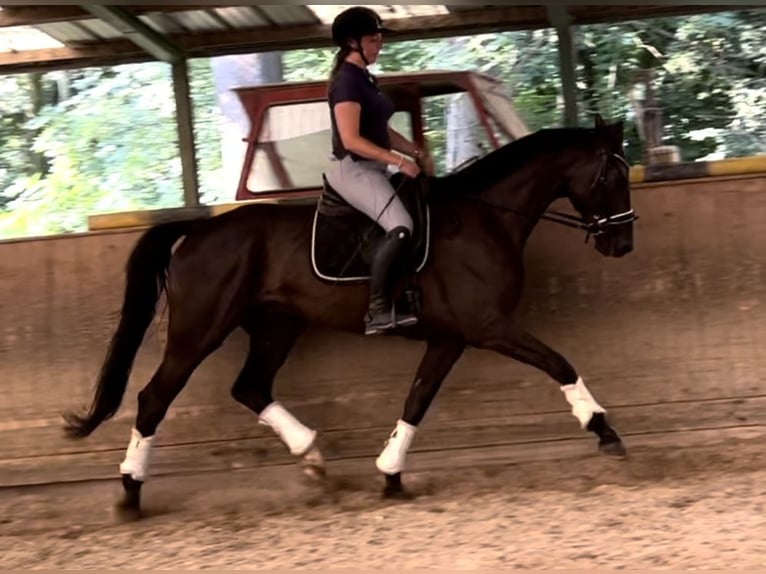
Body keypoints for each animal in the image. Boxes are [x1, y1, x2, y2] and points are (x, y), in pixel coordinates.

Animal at [63, 115, 636, 520]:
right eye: (611, 174)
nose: (623, 244)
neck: (486, 218)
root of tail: (197, 231)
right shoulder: (489, 327)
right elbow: (559, 364)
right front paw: (604, 431)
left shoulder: (450, 338)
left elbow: (416, 402)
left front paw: (391, 474)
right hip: (199, 330)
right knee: (154, 398)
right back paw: (130, 492)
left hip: (277, 326)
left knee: (251, 387)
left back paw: (313, 458)